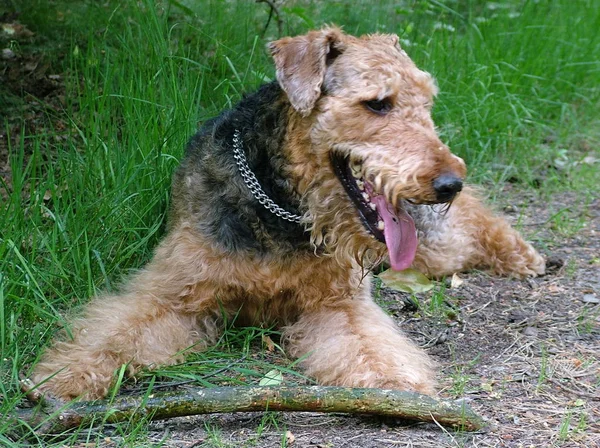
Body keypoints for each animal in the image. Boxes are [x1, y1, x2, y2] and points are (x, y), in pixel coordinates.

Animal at [29, 27, 544, 400]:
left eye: (427, 103)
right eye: (377, 103)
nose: (448, 183)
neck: (284, 210)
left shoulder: (339, 303)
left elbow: (371, 346)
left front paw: (394, 383)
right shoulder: (170, 294)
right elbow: (115, 334)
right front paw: (63, 377)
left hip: (435, 240)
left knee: (476, 218)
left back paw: (524, 256)